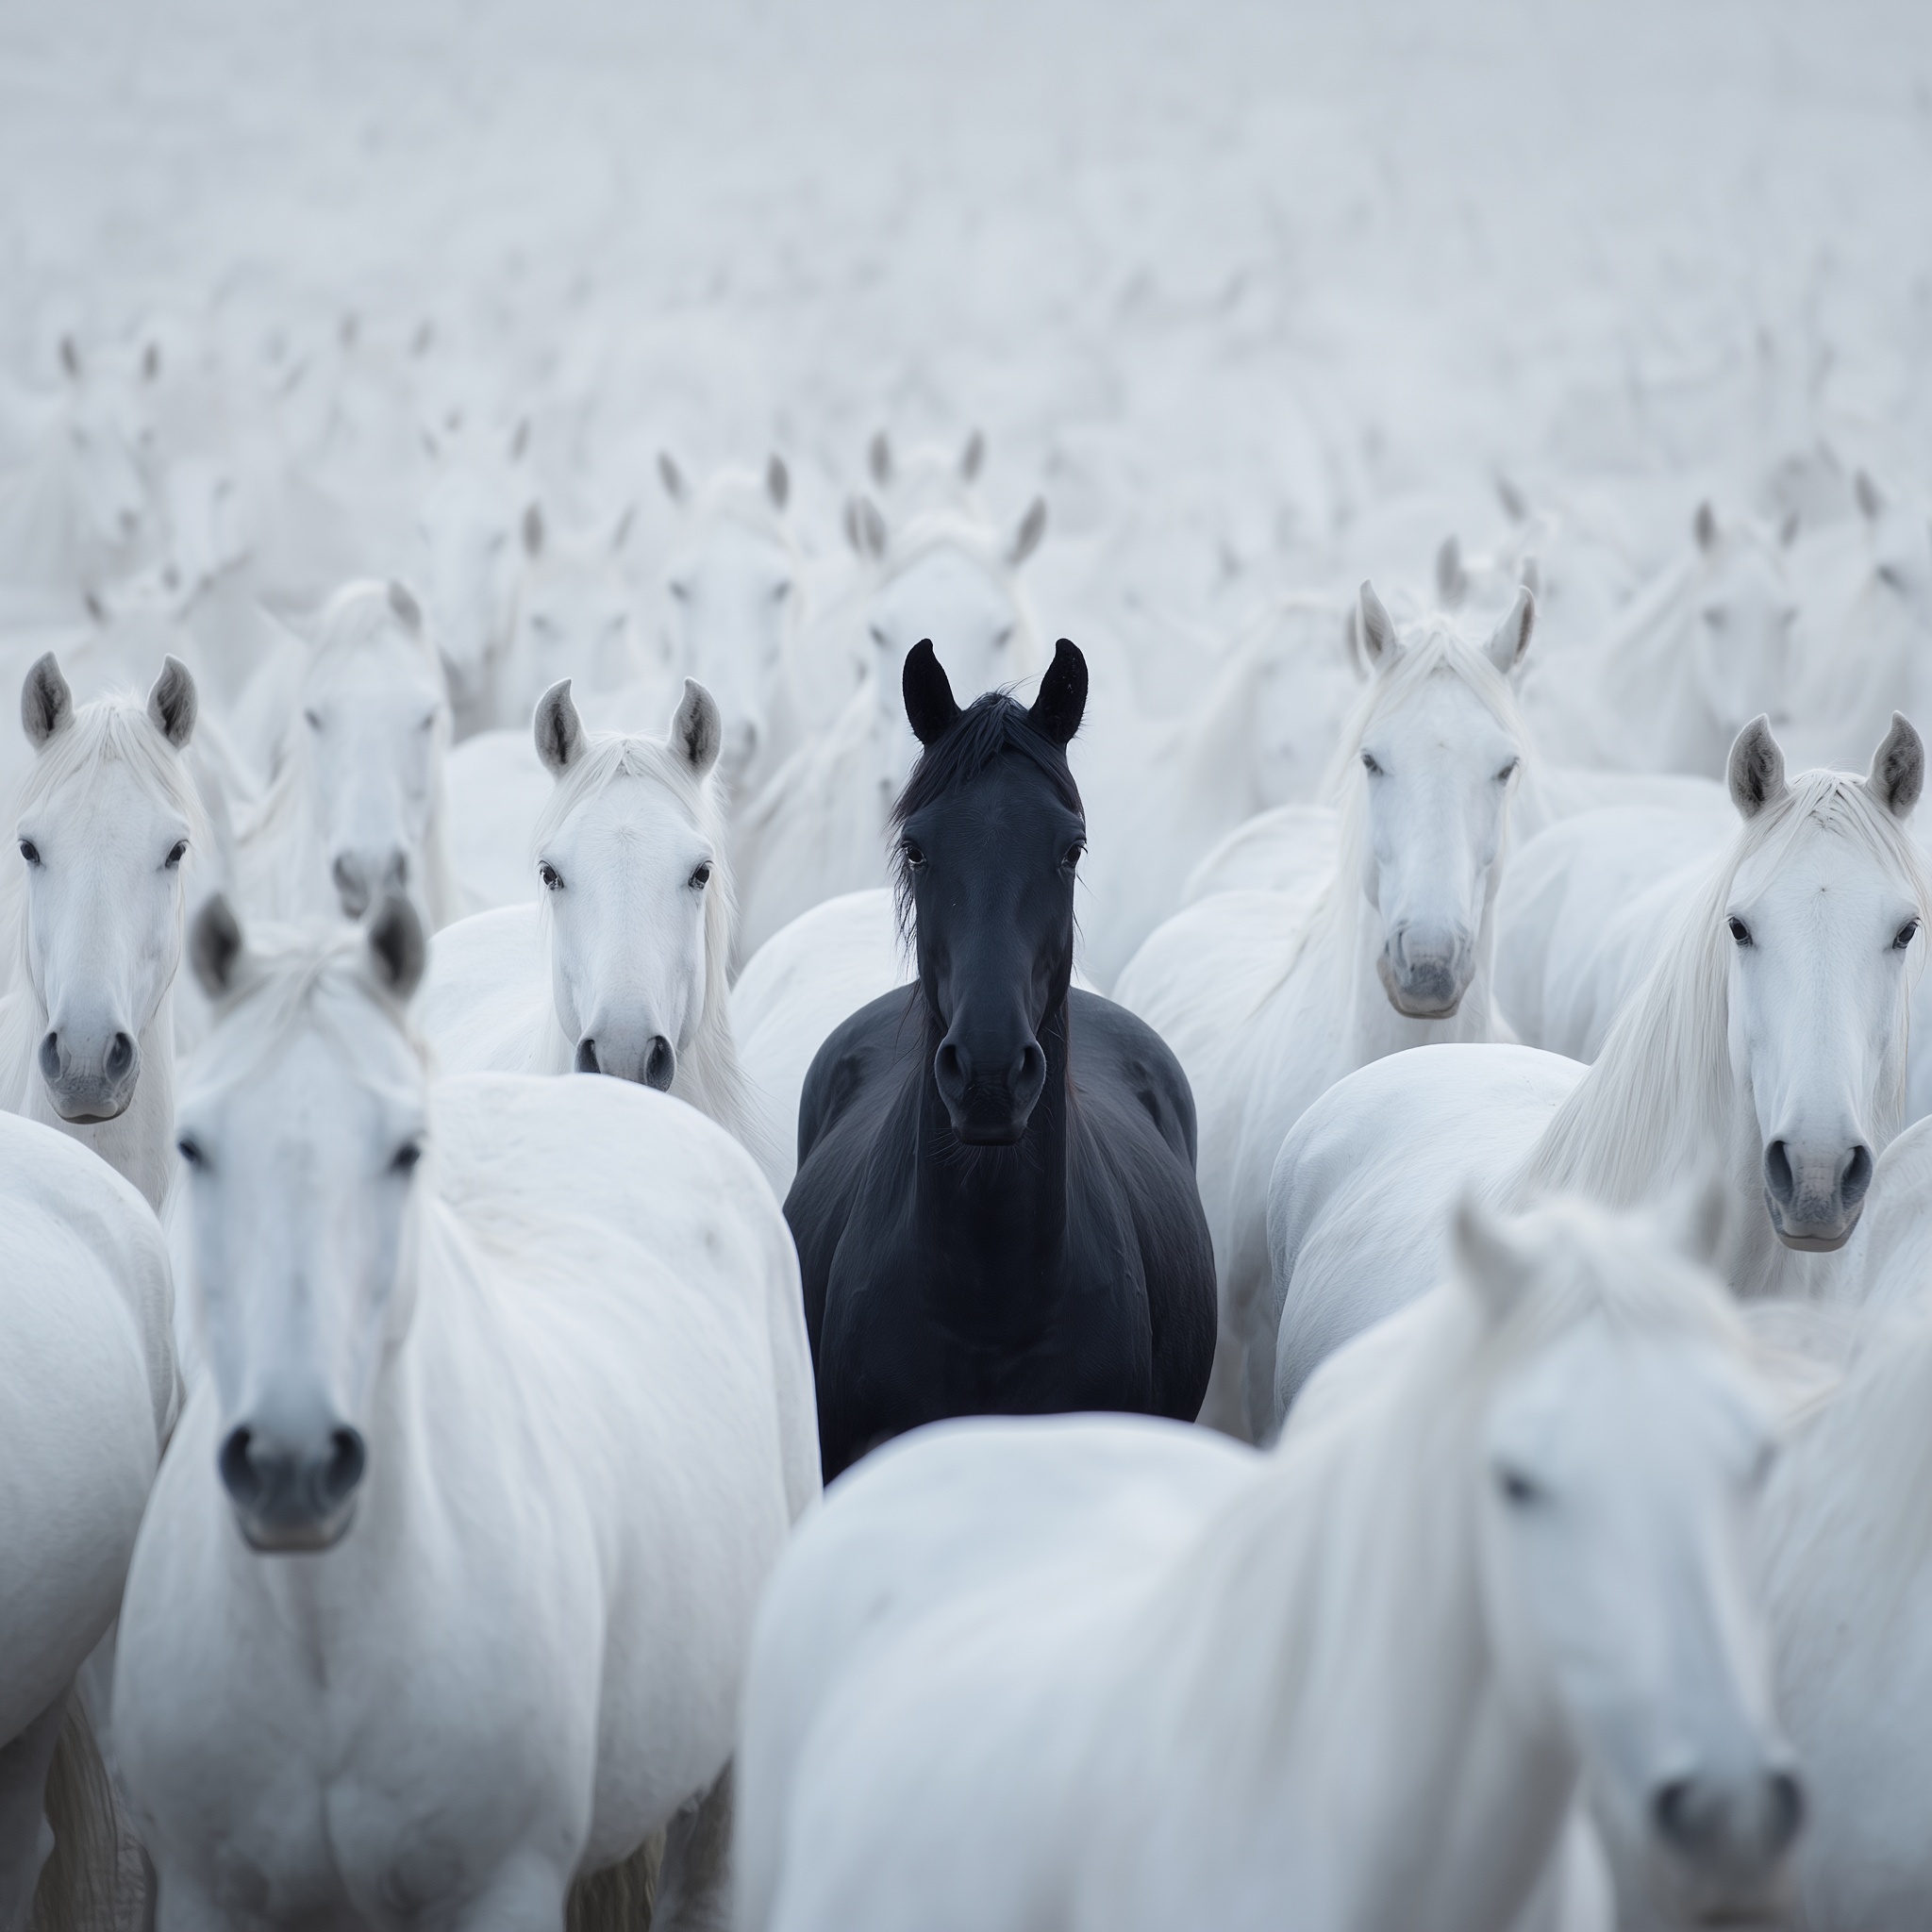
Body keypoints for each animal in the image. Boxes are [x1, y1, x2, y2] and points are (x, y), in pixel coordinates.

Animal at [114, 894, 819, 1932]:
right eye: (194, 1147)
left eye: (405, 1149)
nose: (292, 1462)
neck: (327, 1629)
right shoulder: (208, 1889)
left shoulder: (502, 1885)